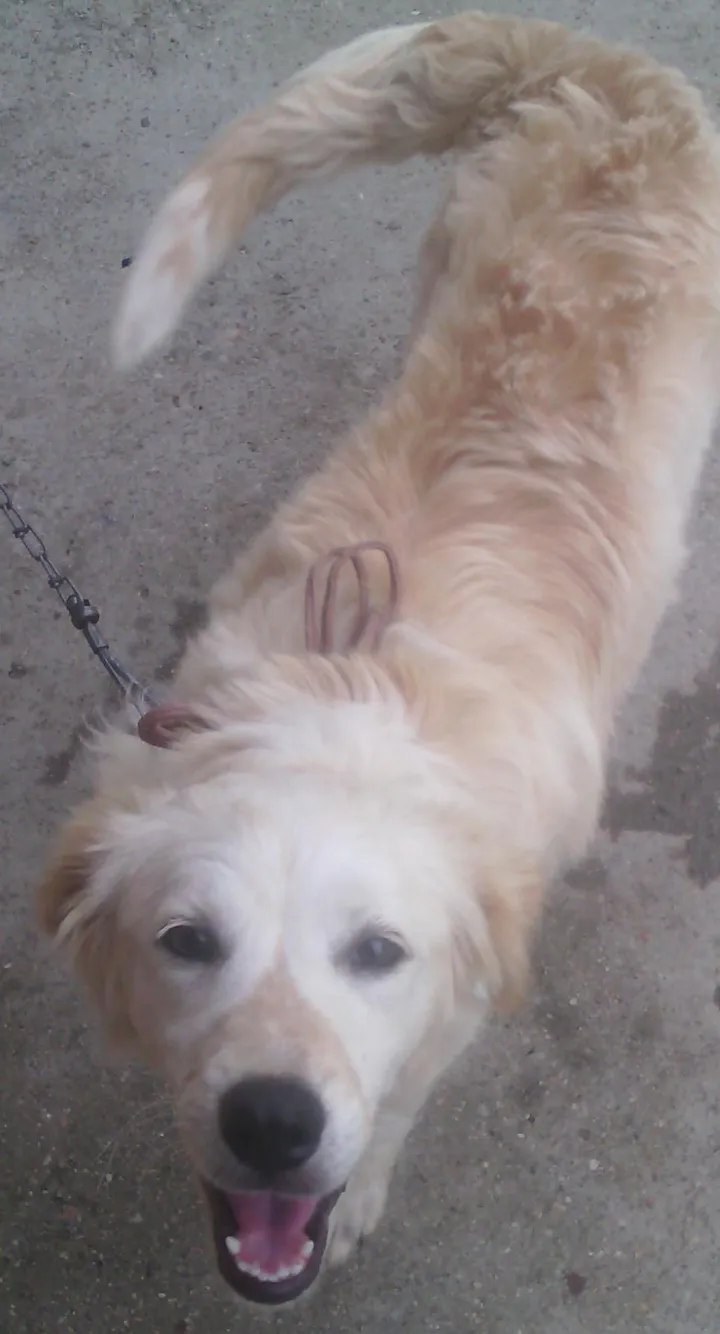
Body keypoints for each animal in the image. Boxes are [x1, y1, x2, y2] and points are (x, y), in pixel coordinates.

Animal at [38, 11, 720, 1308]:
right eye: (186, 940)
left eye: (376, 952)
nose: (272, 1122)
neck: (348, 683)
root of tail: (604, 64)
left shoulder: (459, 987)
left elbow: (403, 1092)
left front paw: (360, 1187)